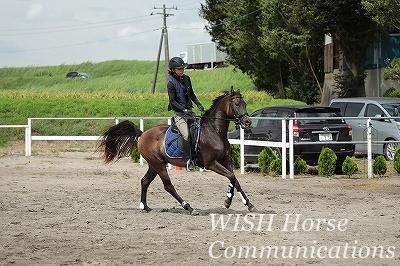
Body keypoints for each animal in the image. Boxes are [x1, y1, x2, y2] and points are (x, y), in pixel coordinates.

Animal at [95, 88, 255, 215]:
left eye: (245, 104)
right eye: (237, 104)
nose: (247, 122)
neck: (214, 131)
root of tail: (143, 134)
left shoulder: (225, 160)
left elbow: (234, 179)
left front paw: (246, 203)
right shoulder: (211, 164)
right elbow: (231, 176)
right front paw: (228, 200)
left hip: (154, 164)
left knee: (144, 181)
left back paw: (145, 206)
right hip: (159, 165)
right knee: (168, 186)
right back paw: (189, 208)